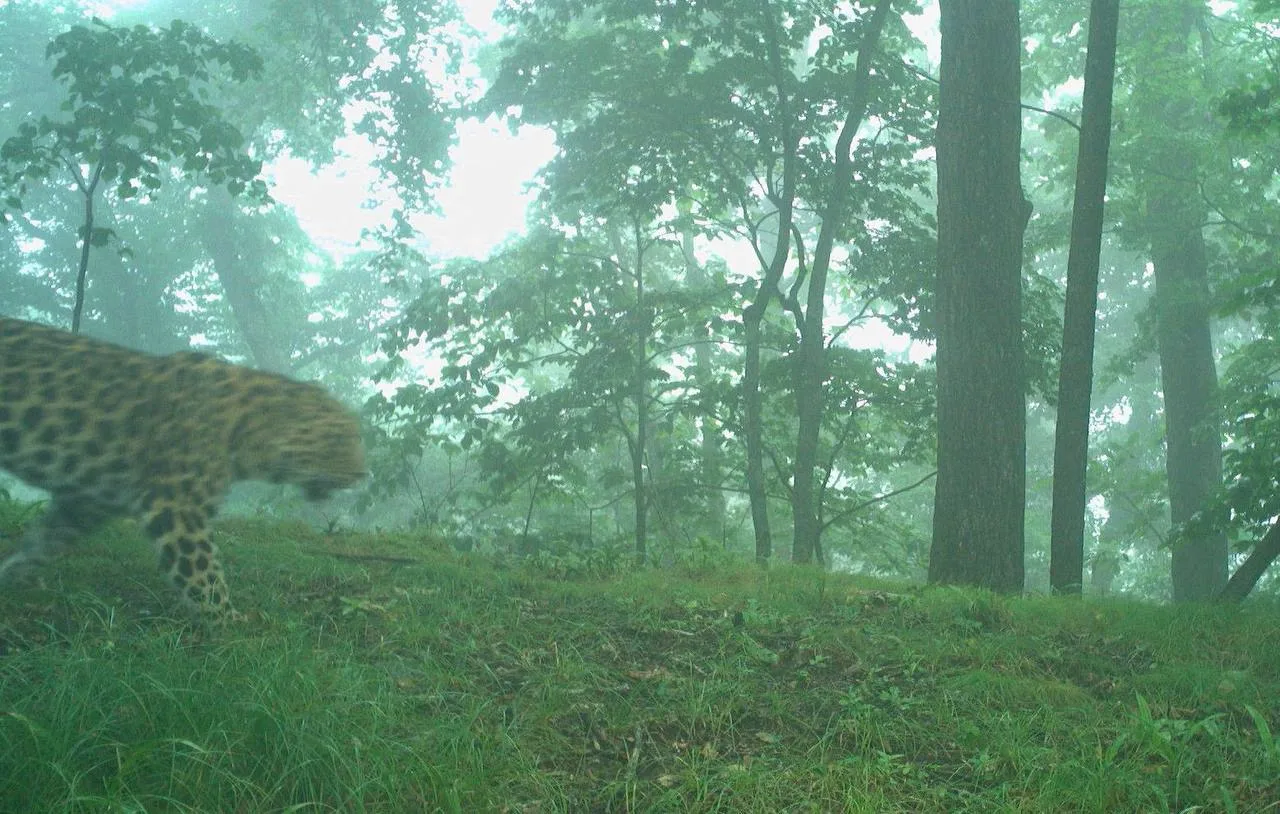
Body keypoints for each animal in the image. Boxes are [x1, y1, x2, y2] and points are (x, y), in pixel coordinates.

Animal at [0, 317, 367, 623]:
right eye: (340, 438)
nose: (363, 475)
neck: (246, 430)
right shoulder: (177, 506)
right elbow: (203, 574)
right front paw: (235, 627)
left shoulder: (86, 502)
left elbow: (42, 542)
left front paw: (11, 578)